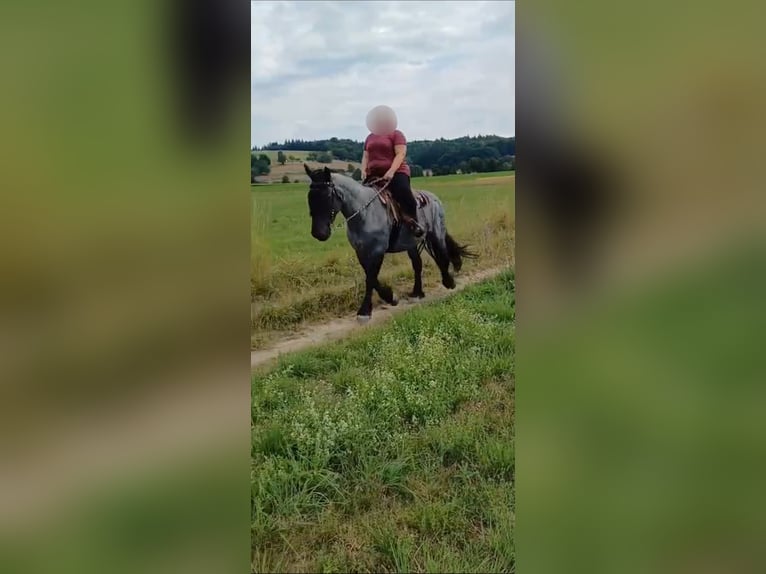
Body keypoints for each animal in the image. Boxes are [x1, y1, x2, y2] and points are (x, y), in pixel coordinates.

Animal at [304, 164, 476, 321]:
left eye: (327, 197)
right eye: (310, 197)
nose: (319, 233)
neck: (365, 212)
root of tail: (434, 198)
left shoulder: (378, 250)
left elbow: (370, 278)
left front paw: (365, 310)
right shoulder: (361, 251)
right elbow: (371, 277)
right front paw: (390, 297)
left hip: (436, 233)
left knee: (442, 255)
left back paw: (448, 282)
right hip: (411, 243)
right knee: (417, 264)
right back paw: (417, 292)